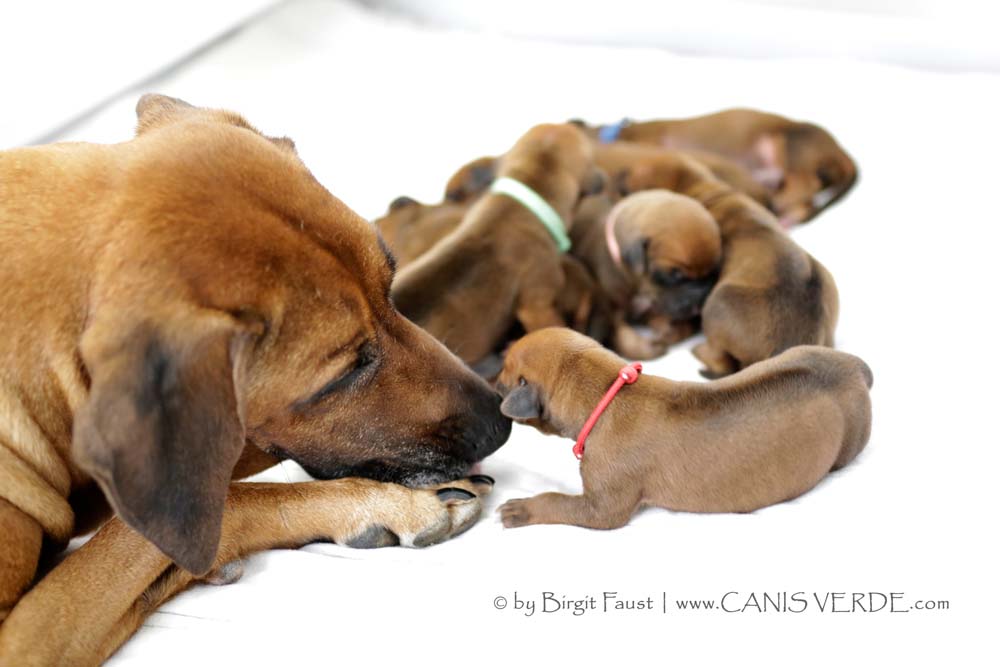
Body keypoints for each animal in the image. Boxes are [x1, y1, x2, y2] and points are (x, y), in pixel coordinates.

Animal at [0, 94, 511, 665]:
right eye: (347, 371)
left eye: (391, 284)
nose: (500, 423)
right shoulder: (23, 637)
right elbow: (205, 507)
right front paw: (387, 502)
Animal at [495, 328, 872, 528]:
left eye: (503, 375)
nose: (493, 383)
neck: (606, 391)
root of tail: (854, 365)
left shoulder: (604, 502)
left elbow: (563, 501)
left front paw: (522, 509)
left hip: (851, 440)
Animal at [569, 190, 720, 359]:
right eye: (675, 275)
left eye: (712, 273)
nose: (701, 297)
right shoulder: (612, 311)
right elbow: (626, 339)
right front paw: (650, 348)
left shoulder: (650, 307)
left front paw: (670, 330)